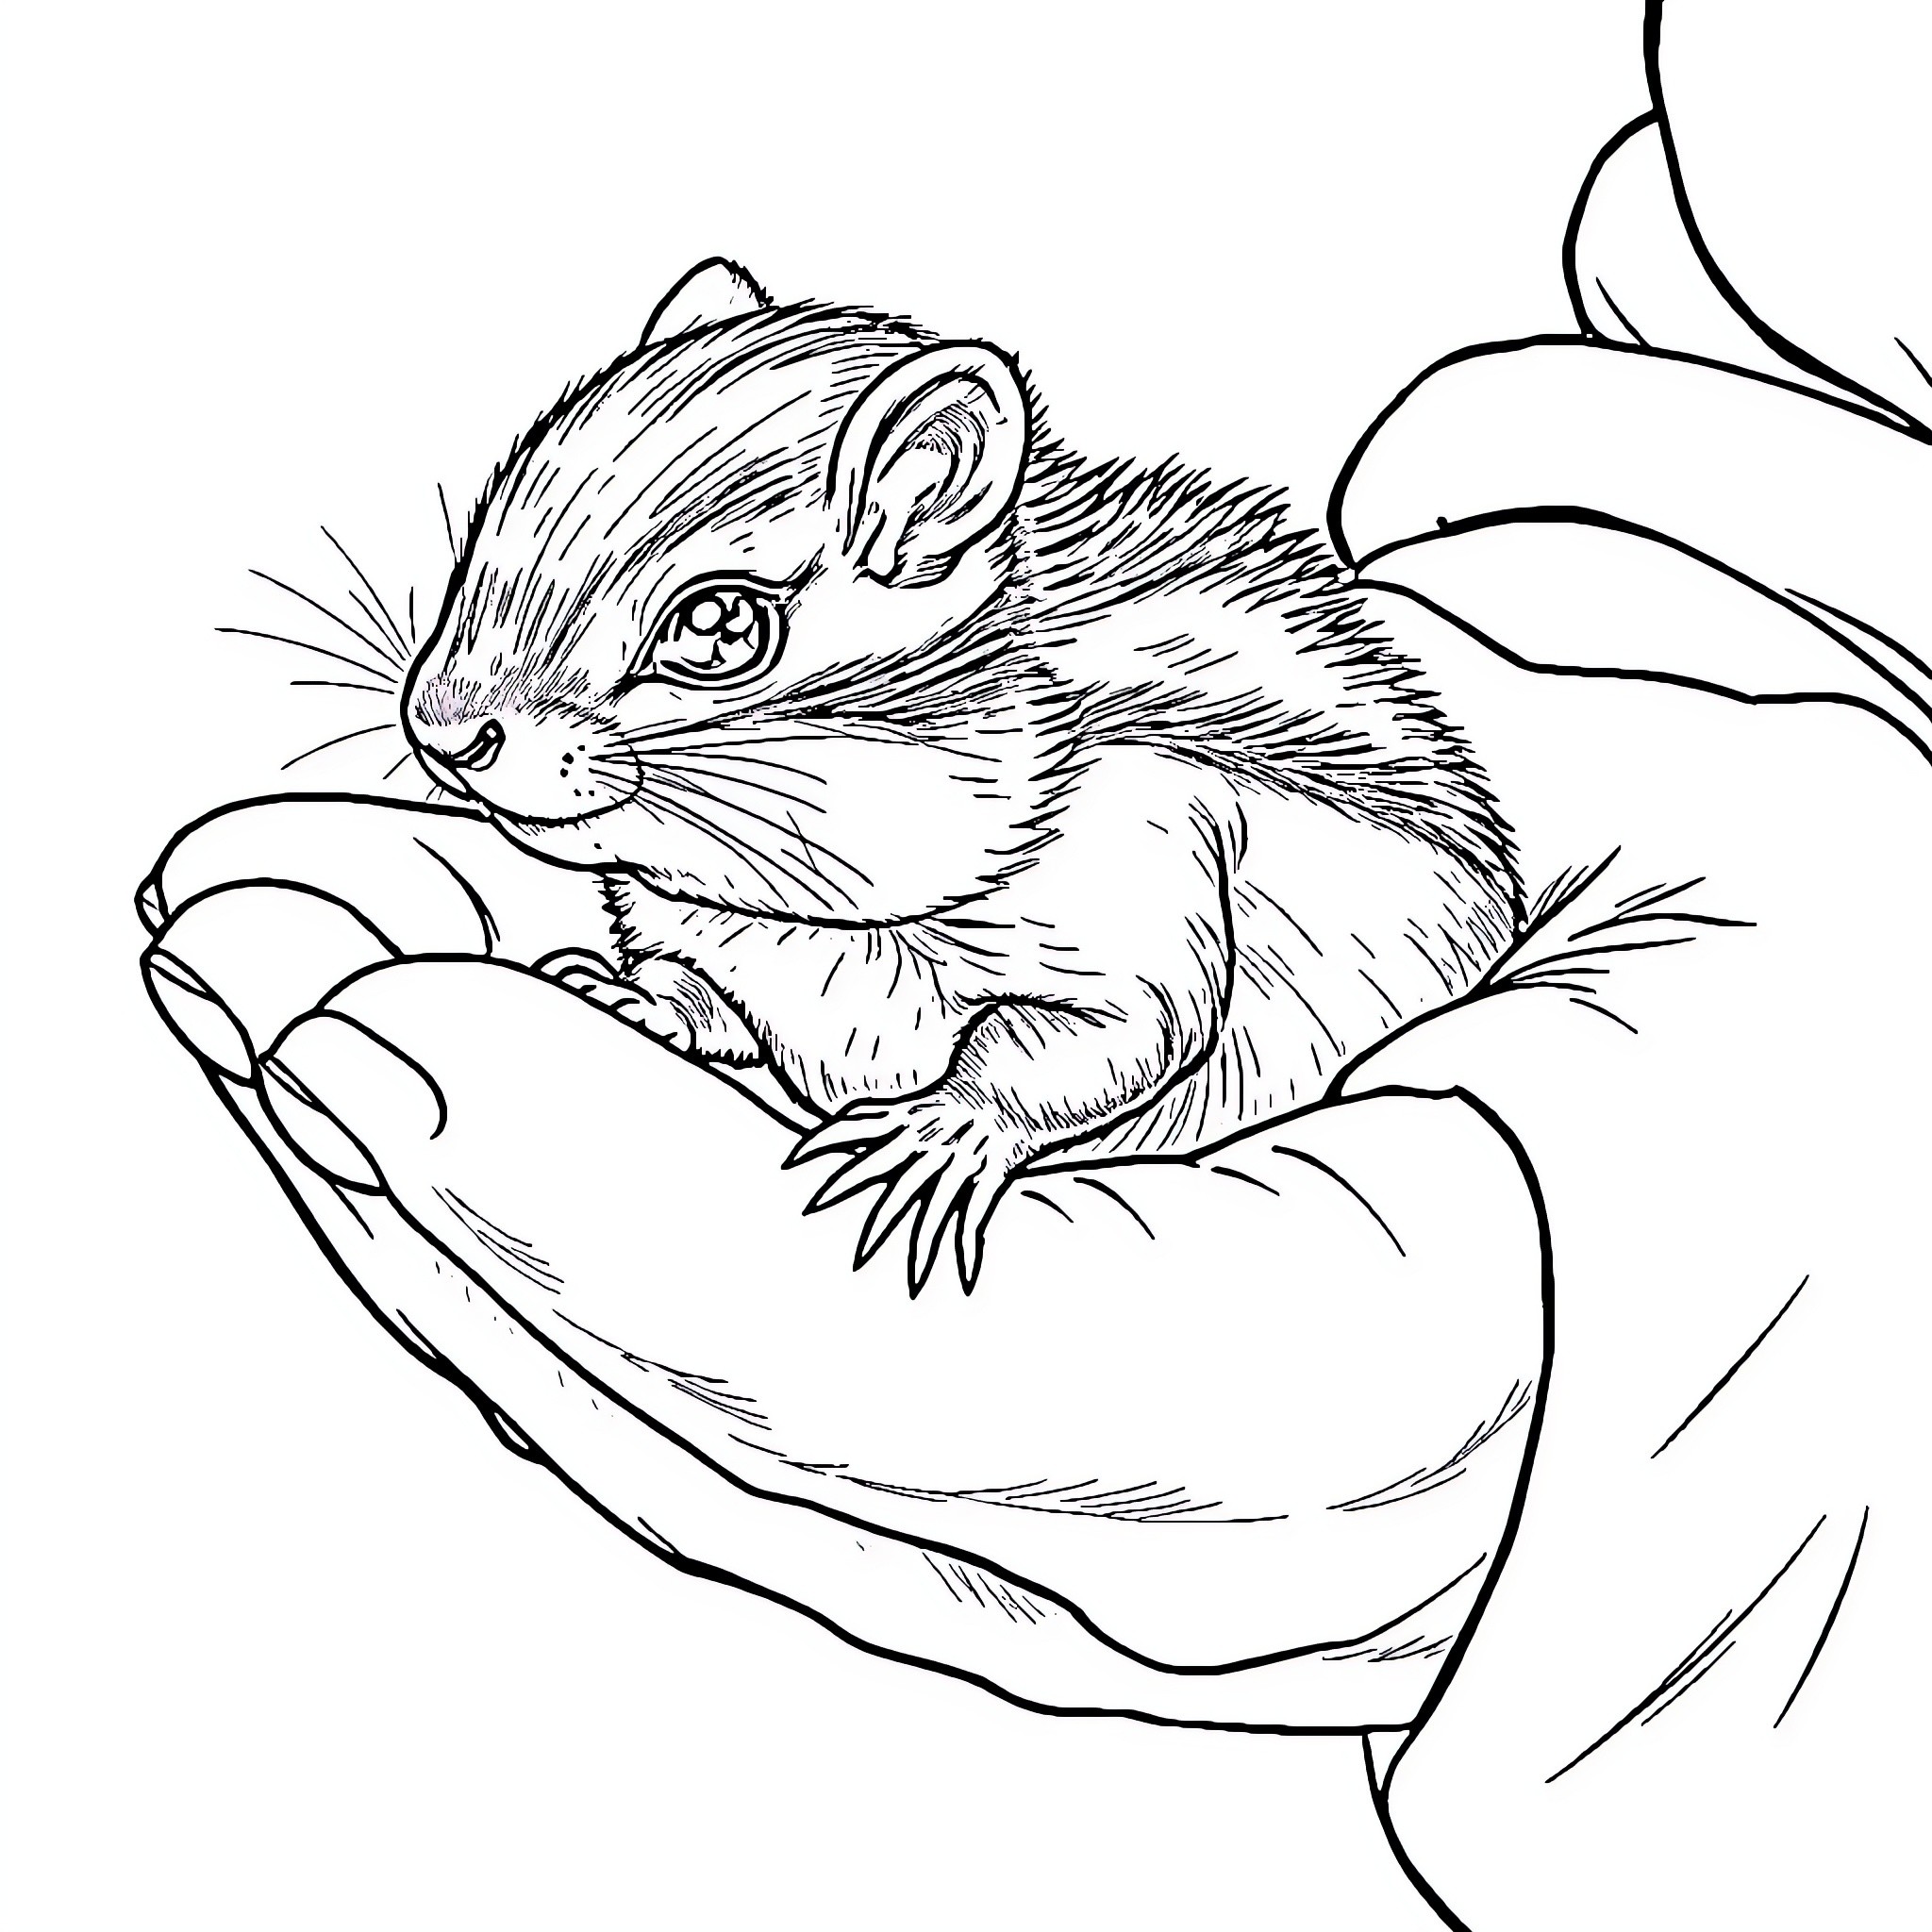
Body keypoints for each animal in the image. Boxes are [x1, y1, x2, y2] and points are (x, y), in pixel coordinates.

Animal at [402, 258, 1524, 1292]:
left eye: (719, 626)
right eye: (485, 528)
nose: (443, 731)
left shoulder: (1146, 857)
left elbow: (1111, 1033)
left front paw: (937, 1131)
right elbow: (703, 995)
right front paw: (630, 995)